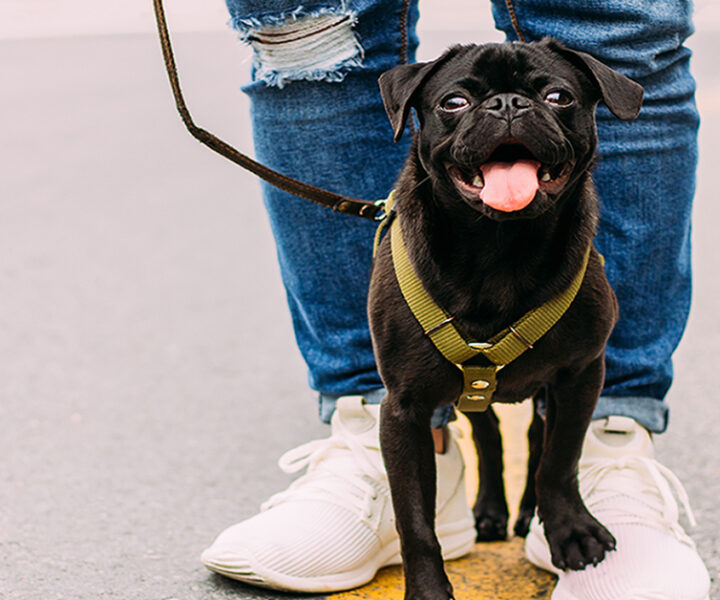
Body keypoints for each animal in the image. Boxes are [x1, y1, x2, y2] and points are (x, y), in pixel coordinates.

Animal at [368, 39, 644, 596]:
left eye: (559, 96)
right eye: (453, 103)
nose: (508, 104)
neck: (499, 249)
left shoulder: (582, 374)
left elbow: (560, 459)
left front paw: (570, 531)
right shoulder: (402, 411)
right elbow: (415, 518)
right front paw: (427, 589)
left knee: (537, 438)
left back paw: (527, 512)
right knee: (489, 434)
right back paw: (491, 511)